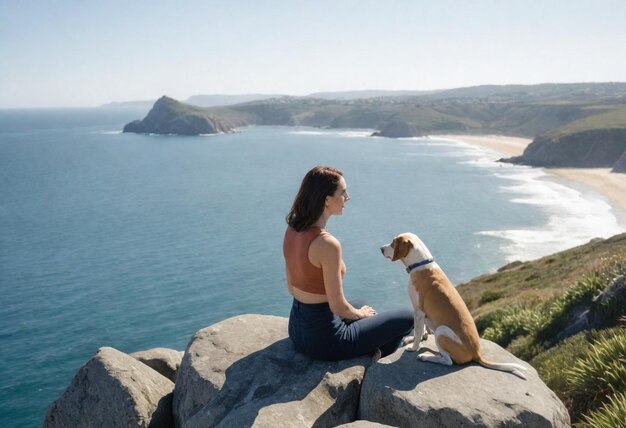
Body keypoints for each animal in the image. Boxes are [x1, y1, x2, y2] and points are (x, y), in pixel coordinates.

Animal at [378, 232, 524, 380]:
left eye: (393, 243)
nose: (381, 248)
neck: (421, 264)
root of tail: (476, 353)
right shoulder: (422, 313)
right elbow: (422, 329)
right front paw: (414, 339)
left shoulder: (418, 310)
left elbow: (418, 331)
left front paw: (413, 347)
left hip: (442, 331)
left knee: (448, 361)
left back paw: (426, 356)